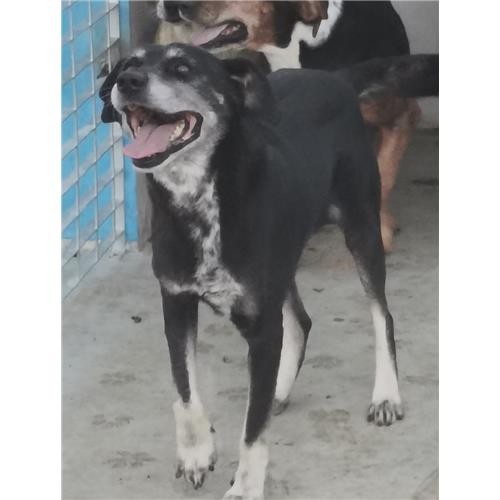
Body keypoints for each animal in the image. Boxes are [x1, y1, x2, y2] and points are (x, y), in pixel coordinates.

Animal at [99, 43, 403, 499]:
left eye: (182, 67)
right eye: (129, 64)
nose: (127, 82)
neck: (200, 200)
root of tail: (336, 77)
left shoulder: (261, 327)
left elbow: (253, 430)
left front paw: (245, 486)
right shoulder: (176, 303)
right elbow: (184, 388)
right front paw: (196, 451)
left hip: (362, 227)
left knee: (381, 314)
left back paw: (386, 394)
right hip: (284, 259)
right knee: (301, 320)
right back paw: (278, 388)